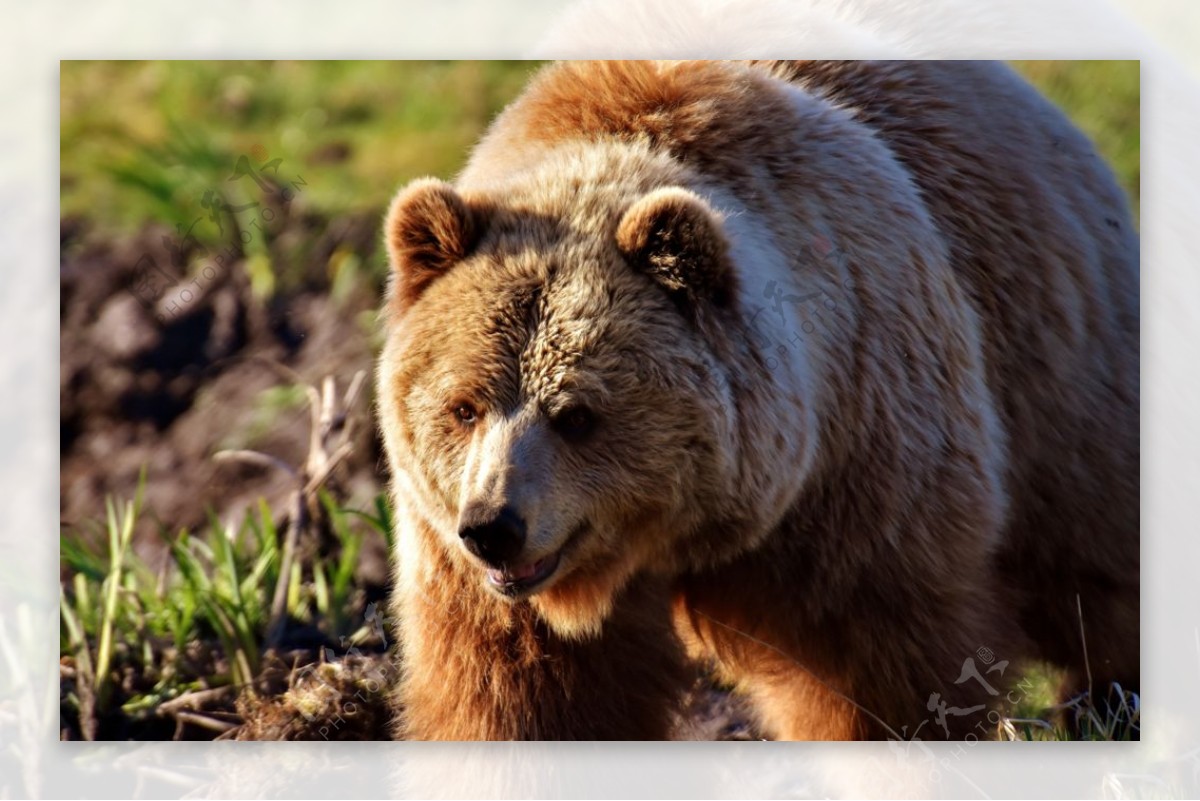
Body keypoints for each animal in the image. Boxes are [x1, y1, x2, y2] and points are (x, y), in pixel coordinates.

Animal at [379, 59, 1137, 743]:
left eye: (578, 414)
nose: (493, 526)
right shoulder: (463, 561)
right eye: (464, 406)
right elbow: (523, 698)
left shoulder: (859, 462)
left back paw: (1106, 703)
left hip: (1053, 370)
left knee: (1092, 561)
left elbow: (881, 672)